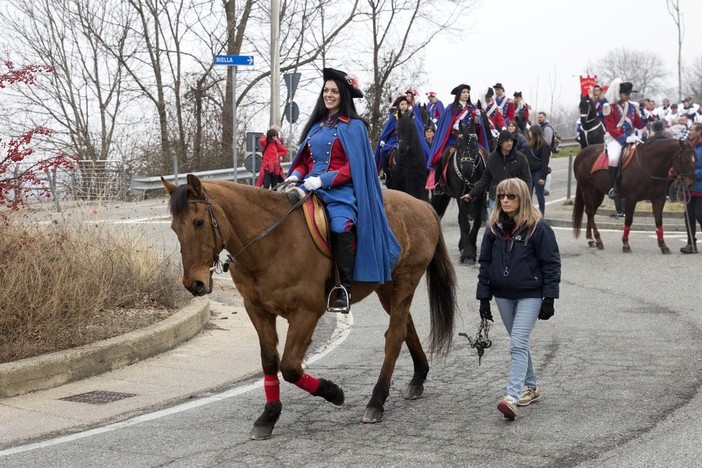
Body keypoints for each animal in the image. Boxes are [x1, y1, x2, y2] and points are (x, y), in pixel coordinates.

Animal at [162, 175, 460, 438]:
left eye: (199, 222)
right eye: (175, 228)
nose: (194, 284)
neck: (270, 242)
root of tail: (422, 205)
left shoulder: (306, 312)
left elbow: (290, 367)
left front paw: (333, 392)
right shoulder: (257, 310)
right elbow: (270, 361)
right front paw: (268, 416)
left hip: (405, 281)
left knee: (395, 336)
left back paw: (377, 401)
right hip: (387, 288)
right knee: (407, 326)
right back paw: (418, 378)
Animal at [432, 121, 486, 264]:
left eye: (474, 142)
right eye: (459, 142)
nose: (466, 169)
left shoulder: (480, 196)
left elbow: (477, 222)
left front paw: (471, 248)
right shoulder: (459, 196)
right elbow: (464, 223)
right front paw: (468, 254)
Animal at [572, 140, 700, 252]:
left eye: (696, 159)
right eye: (685, 160)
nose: (690, 184)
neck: (648, 164)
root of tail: (582, 153)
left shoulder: (659, 199)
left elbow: (659, 221)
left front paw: (663, 245)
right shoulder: (631, 198)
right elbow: (628, 220)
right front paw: (625, 244)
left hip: (598, 192)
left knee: (591, 212)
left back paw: (591, 239)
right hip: (587, 188)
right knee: (589, 211)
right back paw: (598, 240)